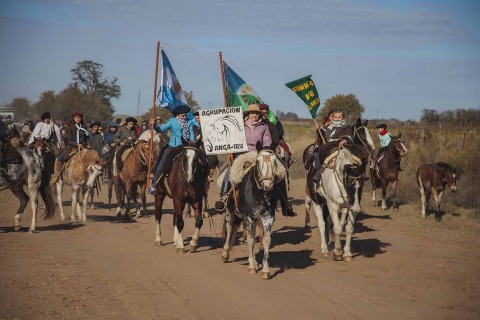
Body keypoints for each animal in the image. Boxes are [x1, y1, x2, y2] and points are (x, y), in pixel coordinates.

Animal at [222, 143, 286, 280]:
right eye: (258, 161)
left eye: (275, 162)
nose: (267, 184)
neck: (259, 193)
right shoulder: (248, 218)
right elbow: (250, 240)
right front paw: (251, 267)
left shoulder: (267, 218)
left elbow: (266, 240)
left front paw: (265, 270)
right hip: (230, 212)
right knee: (229, 229)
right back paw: (225, 254)